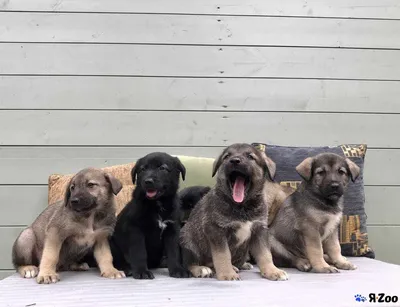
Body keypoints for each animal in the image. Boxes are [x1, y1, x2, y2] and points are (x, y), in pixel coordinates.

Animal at [180, 144, 288, 282]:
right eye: (227, 156)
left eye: (250, 156)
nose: (235, 161)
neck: (242, 207)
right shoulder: (216, 230)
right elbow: (223, 254)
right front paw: (227, 274)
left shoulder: (259, 230)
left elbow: (265, 254)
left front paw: (272, 271)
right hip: (188, 240)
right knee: (189, 262)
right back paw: (202, 269)